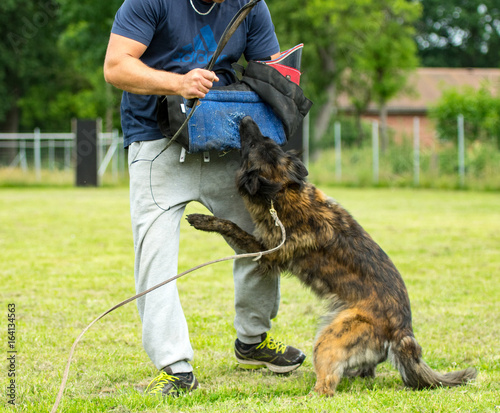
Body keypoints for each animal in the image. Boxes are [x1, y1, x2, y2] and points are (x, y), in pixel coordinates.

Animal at [187, 115, 476, 392]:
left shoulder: (267, 253)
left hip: (329, 337)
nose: (246, 118)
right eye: (263, 140)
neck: (283, 190)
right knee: (362, 372)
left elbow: (232, 227)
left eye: (252, 145)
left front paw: (205, 221)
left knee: (326, 386)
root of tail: (403, 331)